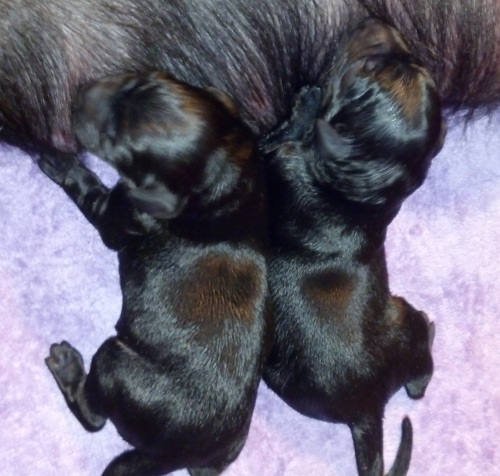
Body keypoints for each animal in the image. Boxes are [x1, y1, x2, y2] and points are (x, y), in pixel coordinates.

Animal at [40, 71, 270, 476]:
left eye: (114, 142)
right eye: (140, 77)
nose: (79, 94)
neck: (221, 181)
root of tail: (177, 456)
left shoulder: (118, 215)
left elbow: (89, 191)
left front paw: (61, 161)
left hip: (115, 362)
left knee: (94, 417)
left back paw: (68, 368)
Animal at [262, 18, 446, 476]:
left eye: (368, 68)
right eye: (396, 60)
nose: (374, 19)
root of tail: (367, 412)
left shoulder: (277, 158)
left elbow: (278, 137)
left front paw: (307, 103)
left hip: (401, 319)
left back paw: (429, 323)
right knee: (418, 384)